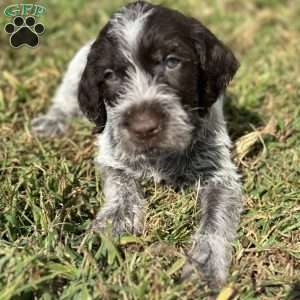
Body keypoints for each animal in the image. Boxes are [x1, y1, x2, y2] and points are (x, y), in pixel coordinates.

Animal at [32, 1, 244, 288]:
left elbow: (215, 219)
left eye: (172, 62)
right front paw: (107, 230)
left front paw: (205, 267)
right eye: (109, 75)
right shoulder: (113, 158)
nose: (144, 128)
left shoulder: (220, 176)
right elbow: (122, 190)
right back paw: (52, 121)